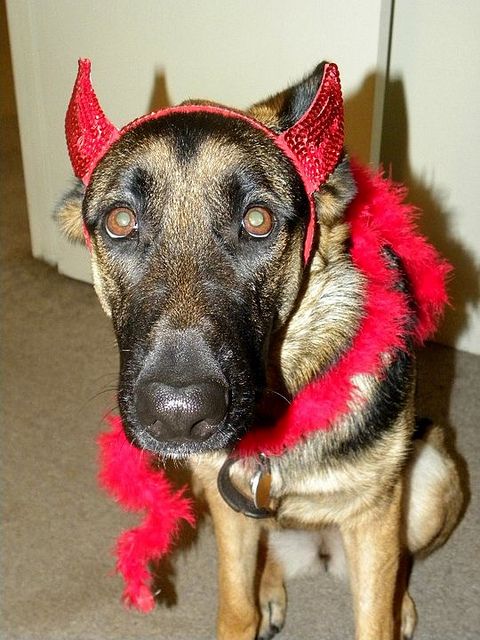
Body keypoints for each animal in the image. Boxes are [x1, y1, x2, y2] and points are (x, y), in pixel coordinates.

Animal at [58, 61, 464, 640]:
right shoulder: (227, 507)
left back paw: (401, 601)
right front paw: (250, 608)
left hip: (430, 478)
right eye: (120, 222)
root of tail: (321, 551)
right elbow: (236, 606)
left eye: (257, 221)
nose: (179, 417)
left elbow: (374, 618)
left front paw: (391, 608)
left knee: (400, 561)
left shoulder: (375, 515)